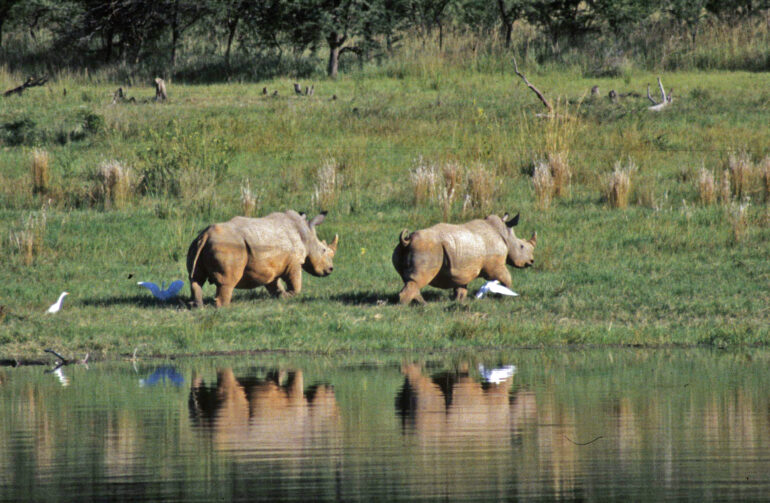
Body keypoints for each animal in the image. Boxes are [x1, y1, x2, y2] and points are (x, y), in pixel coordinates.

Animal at [187, 210, 338, 307]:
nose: (331, 269)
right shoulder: (294, 262)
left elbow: (274, 284)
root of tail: (206, 235)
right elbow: (296, 285)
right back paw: (224, 307)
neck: (306, 235)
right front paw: (288, 296)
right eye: (323, 250)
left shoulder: (269, 266)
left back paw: (197, 306)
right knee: (227, 282)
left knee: (195, 278)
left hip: (196, 243)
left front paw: (281, 296)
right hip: (229, 247)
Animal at [392, 213, 536, 304]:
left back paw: (423, 304)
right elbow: (507, 278)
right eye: (522, 246)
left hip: (406, 250)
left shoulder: (462, 270)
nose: (531, 261)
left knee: (410, 280)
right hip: (428, 249)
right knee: (417, 279)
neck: (505, 234)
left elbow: (461, 287)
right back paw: (405, 307)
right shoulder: (495, 265)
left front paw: (459, 301)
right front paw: (505, 296)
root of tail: (407, 240)